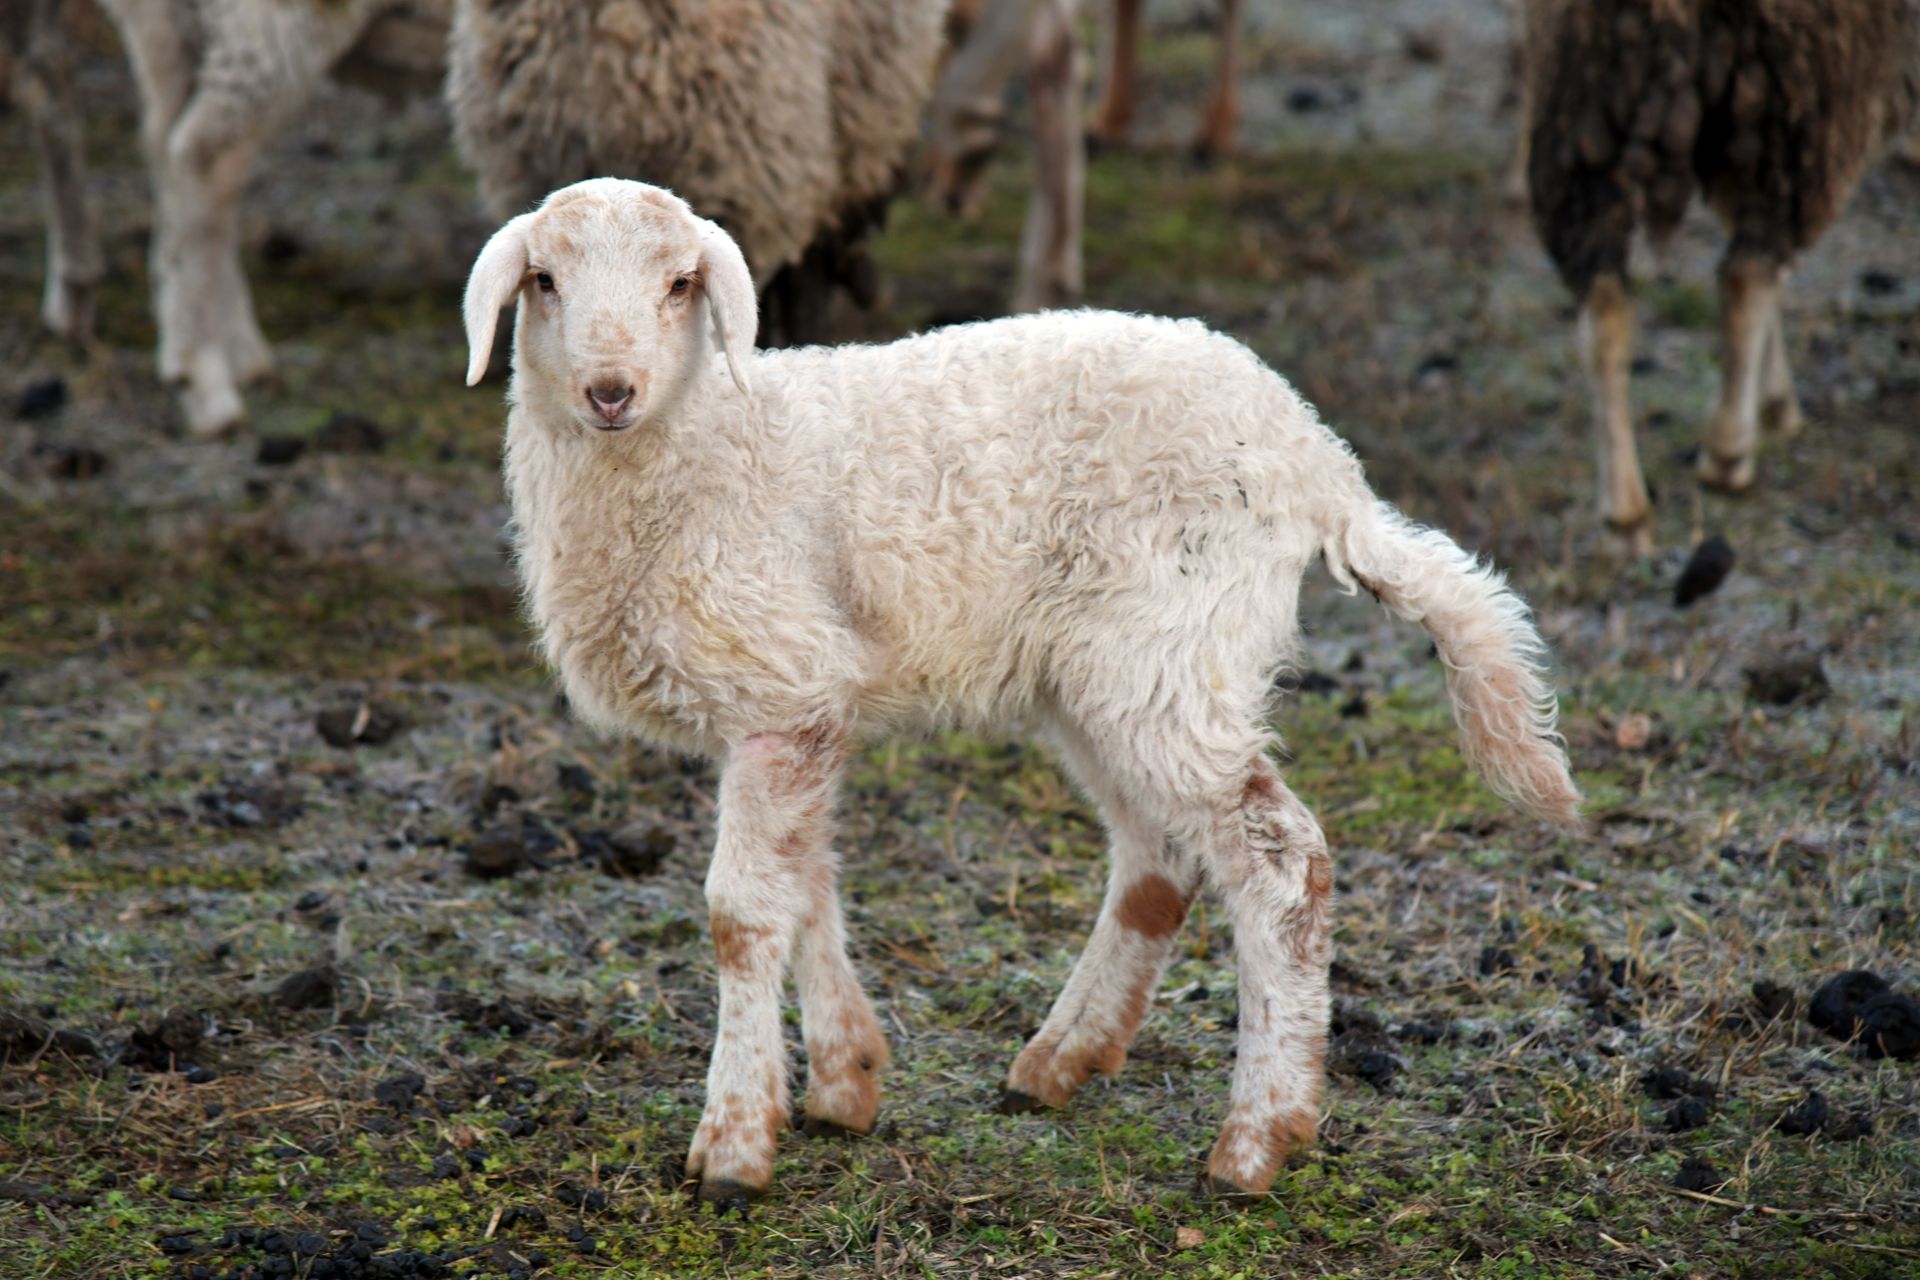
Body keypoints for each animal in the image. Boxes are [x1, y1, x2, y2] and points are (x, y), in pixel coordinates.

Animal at [461, 178, 1584, 1204]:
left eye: (681, 283)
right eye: (546, 280)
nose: (610, 390)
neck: (711, 446)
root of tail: (1320, 459)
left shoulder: (779, 686)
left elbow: (743, 913)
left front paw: (734, 1145)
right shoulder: (804, 701)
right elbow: (808, 885)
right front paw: (843, 1081)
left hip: (1172, 648)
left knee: (1282, 864)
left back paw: (1255, 1141)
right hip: (1102, 674)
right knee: (1158, 858)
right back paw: (1062, 1059)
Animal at [1521, 0, 1920, 552]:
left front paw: (1775, 397)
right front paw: (1772, 403)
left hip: (1584, 102)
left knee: (1604, 309)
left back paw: (1626, 513)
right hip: (1799, 90)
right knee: (1746, 273)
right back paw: (1728, 450)